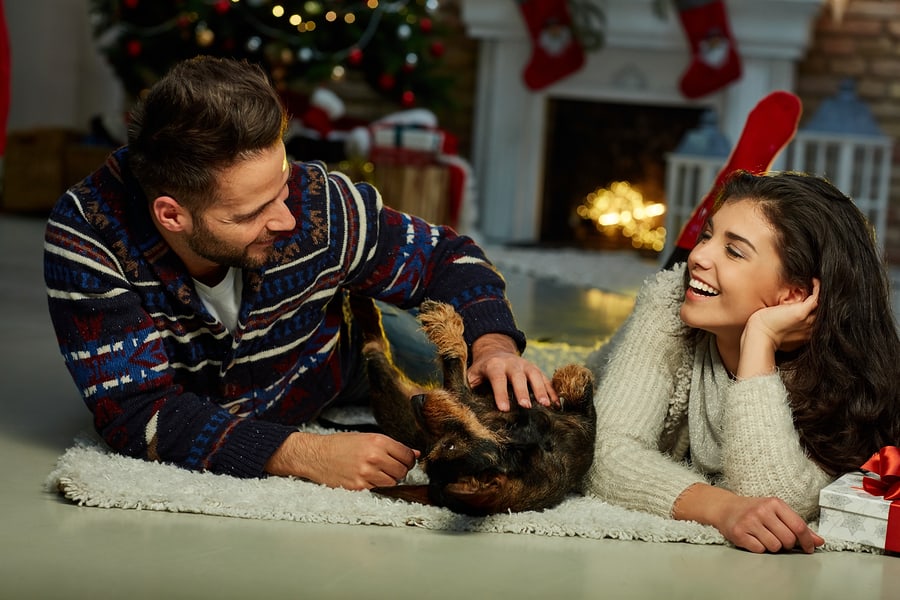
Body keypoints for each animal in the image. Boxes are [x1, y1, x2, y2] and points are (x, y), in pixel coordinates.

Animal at [352, 296, 596, 516]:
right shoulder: (463, 392)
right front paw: (443, 319)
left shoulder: (582, 425)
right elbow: (455, 357)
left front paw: (568, 376)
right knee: (375, 348)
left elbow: (579, 389)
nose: (418, 401)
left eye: (449, 446)